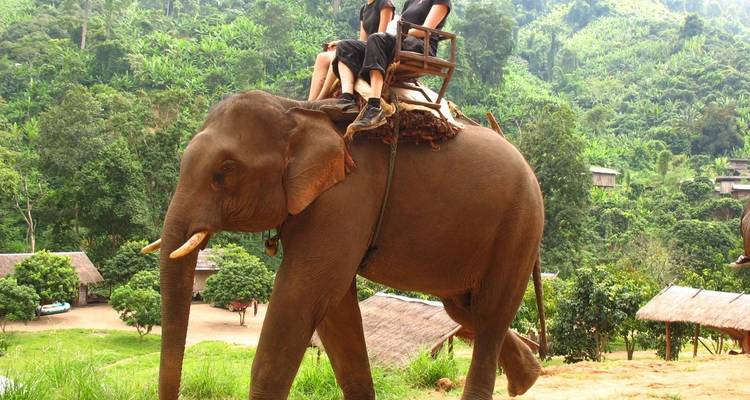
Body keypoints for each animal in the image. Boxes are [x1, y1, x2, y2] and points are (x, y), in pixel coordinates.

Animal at [143, 90, 545, 400]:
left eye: (224, 172)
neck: (297, 109)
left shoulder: (344, 200)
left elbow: (305, 293)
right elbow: (335, 309)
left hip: (520, 226)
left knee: (490, 314)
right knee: (463, 309)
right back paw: (527, 377)